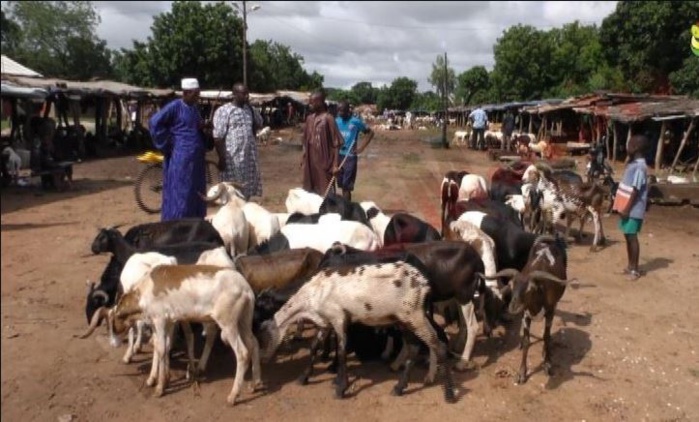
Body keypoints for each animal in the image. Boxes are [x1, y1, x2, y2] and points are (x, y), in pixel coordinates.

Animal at [80, 264, 266, 406]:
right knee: (254, 343)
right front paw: (157, 379)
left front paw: (159, 388)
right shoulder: (167, 323)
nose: (113, 343)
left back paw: (233, 396)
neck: (146, 289)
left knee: (242, 353)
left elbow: (162, 349)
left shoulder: (160, 320)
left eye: (110, 324)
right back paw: (255, 383)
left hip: (228, 325)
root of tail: (245, 287)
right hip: (243, 322)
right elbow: (161, 346)